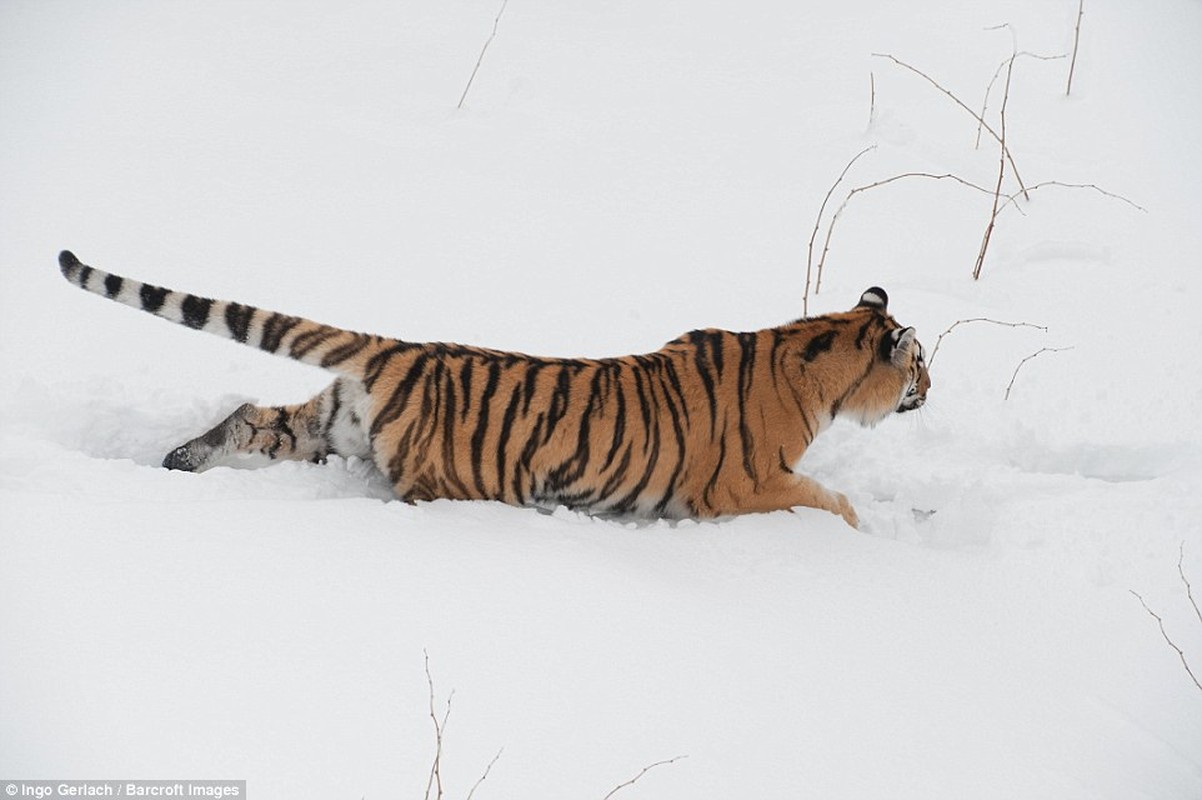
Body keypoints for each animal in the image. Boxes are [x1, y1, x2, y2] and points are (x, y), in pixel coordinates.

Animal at [56, 247, 927, 523]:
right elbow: (830, 502)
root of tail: (401, 352)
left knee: (244, 414)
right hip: (440, 478)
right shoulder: (743, 486)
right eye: (918, 362)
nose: (932, 385)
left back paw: (179, 460)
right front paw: (858, 528)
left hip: (323, 421)